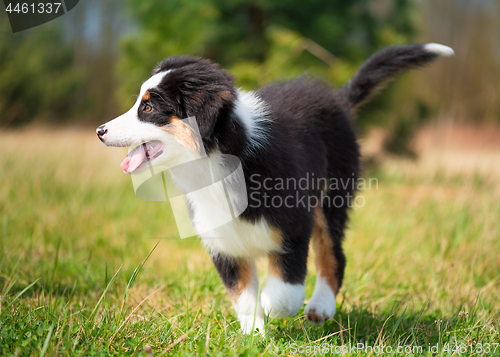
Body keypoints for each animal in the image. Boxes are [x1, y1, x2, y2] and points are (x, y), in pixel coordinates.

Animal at [96, 43, 454, 332]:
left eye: (148, 108)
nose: (100, 131)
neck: (220, 159)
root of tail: (336, 98)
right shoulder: (223, 242)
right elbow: (242, 294)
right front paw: (253, 335)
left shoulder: (294, 227)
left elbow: (285, 290)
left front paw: (270, 306)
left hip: (331, 199)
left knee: (334, 255)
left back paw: (320, 307)